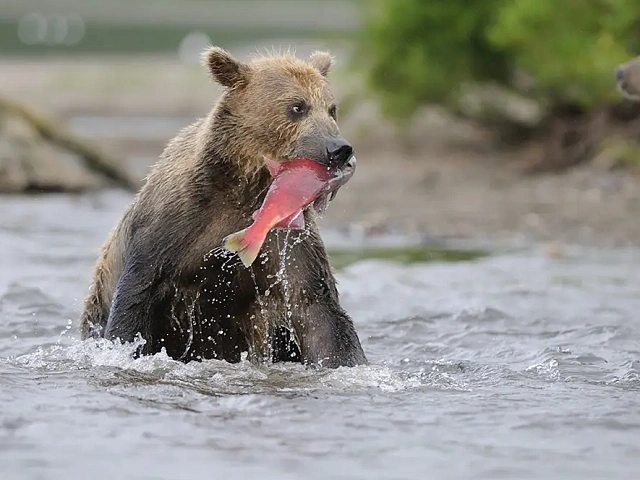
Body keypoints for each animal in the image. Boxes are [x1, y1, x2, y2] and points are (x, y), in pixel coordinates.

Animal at [78, 46, 368, 369]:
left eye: (331, 108)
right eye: (297, 107)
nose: (339, 148)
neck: (246, 187)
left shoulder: (287, 242)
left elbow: (317, 310)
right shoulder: (172, 226)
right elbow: (136, 298)